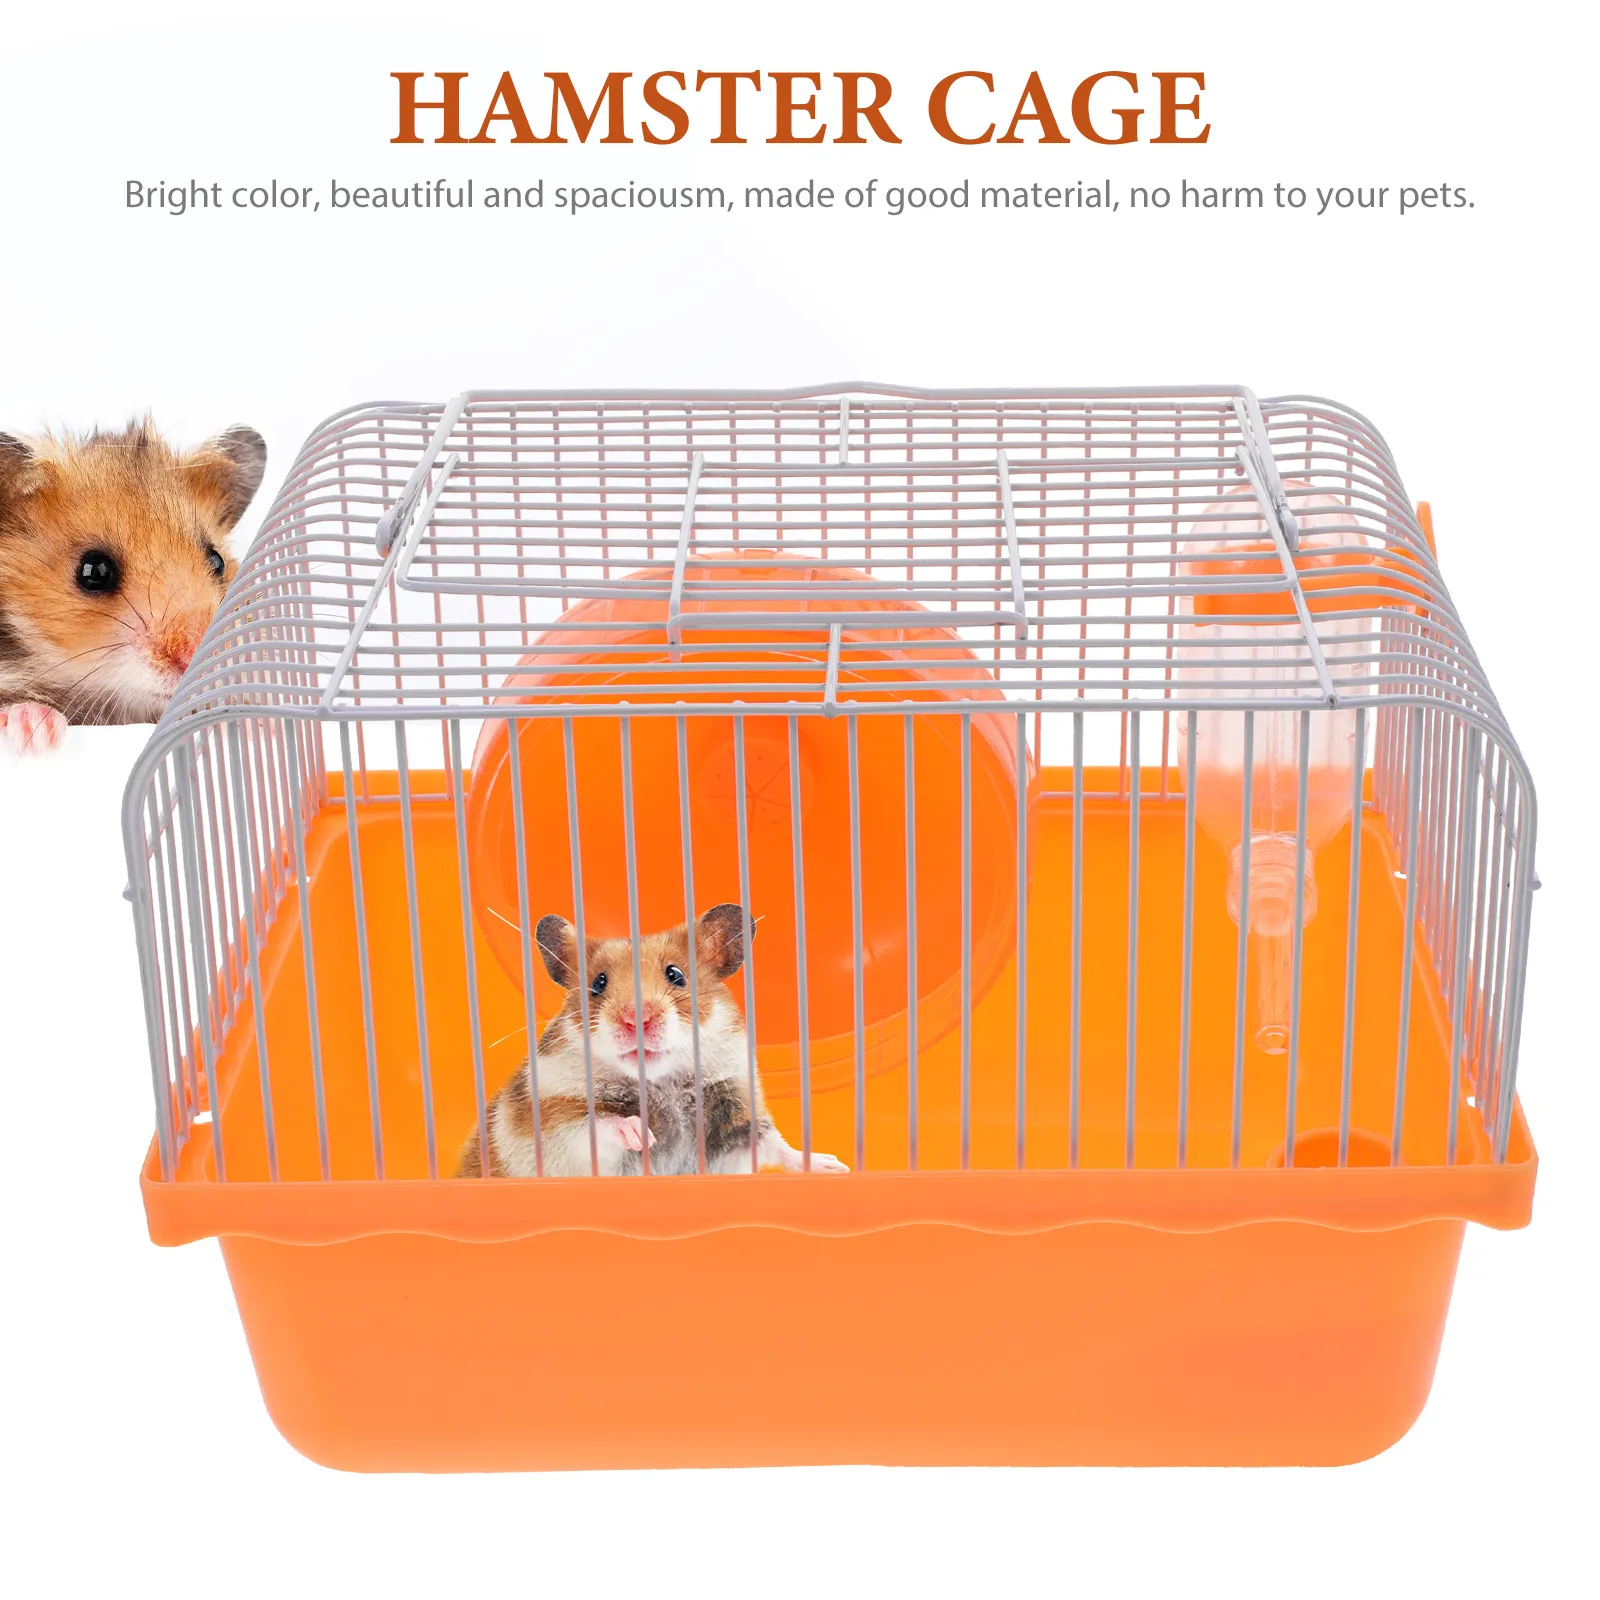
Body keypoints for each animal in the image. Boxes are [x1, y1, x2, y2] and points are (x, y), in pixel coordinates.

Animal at [457, 902, 849, 1178]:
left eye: (676, 975)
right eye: (598, 983)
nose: (637, 1019)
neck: (661, 1082)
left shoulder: (737, 1111)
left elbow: (776, 1145)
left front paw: (834, 1165)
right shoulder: (555, 1121)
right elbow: (598, 1124)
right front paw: (642, 1135)